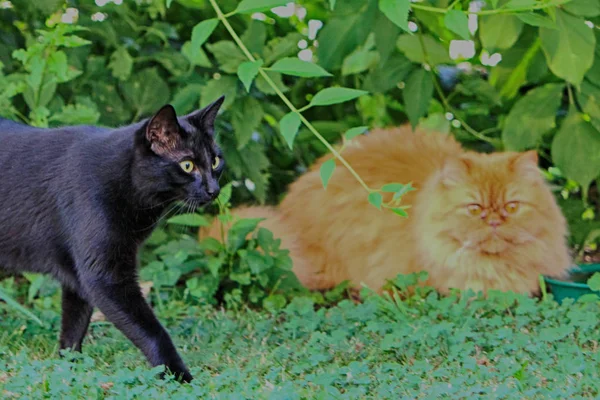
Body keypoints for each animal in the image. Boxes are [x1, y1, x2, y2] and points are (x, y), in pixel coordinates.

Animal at [0, 96, 225, 382]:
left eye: (216, 161)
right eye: (188, 165)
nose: (214, 190)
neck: (124, 178)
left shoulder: (77, 272)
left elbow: (75, 323)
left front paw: (69, 366)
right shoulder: (104, 275)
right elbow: (152, 331)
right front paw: (178, 374)